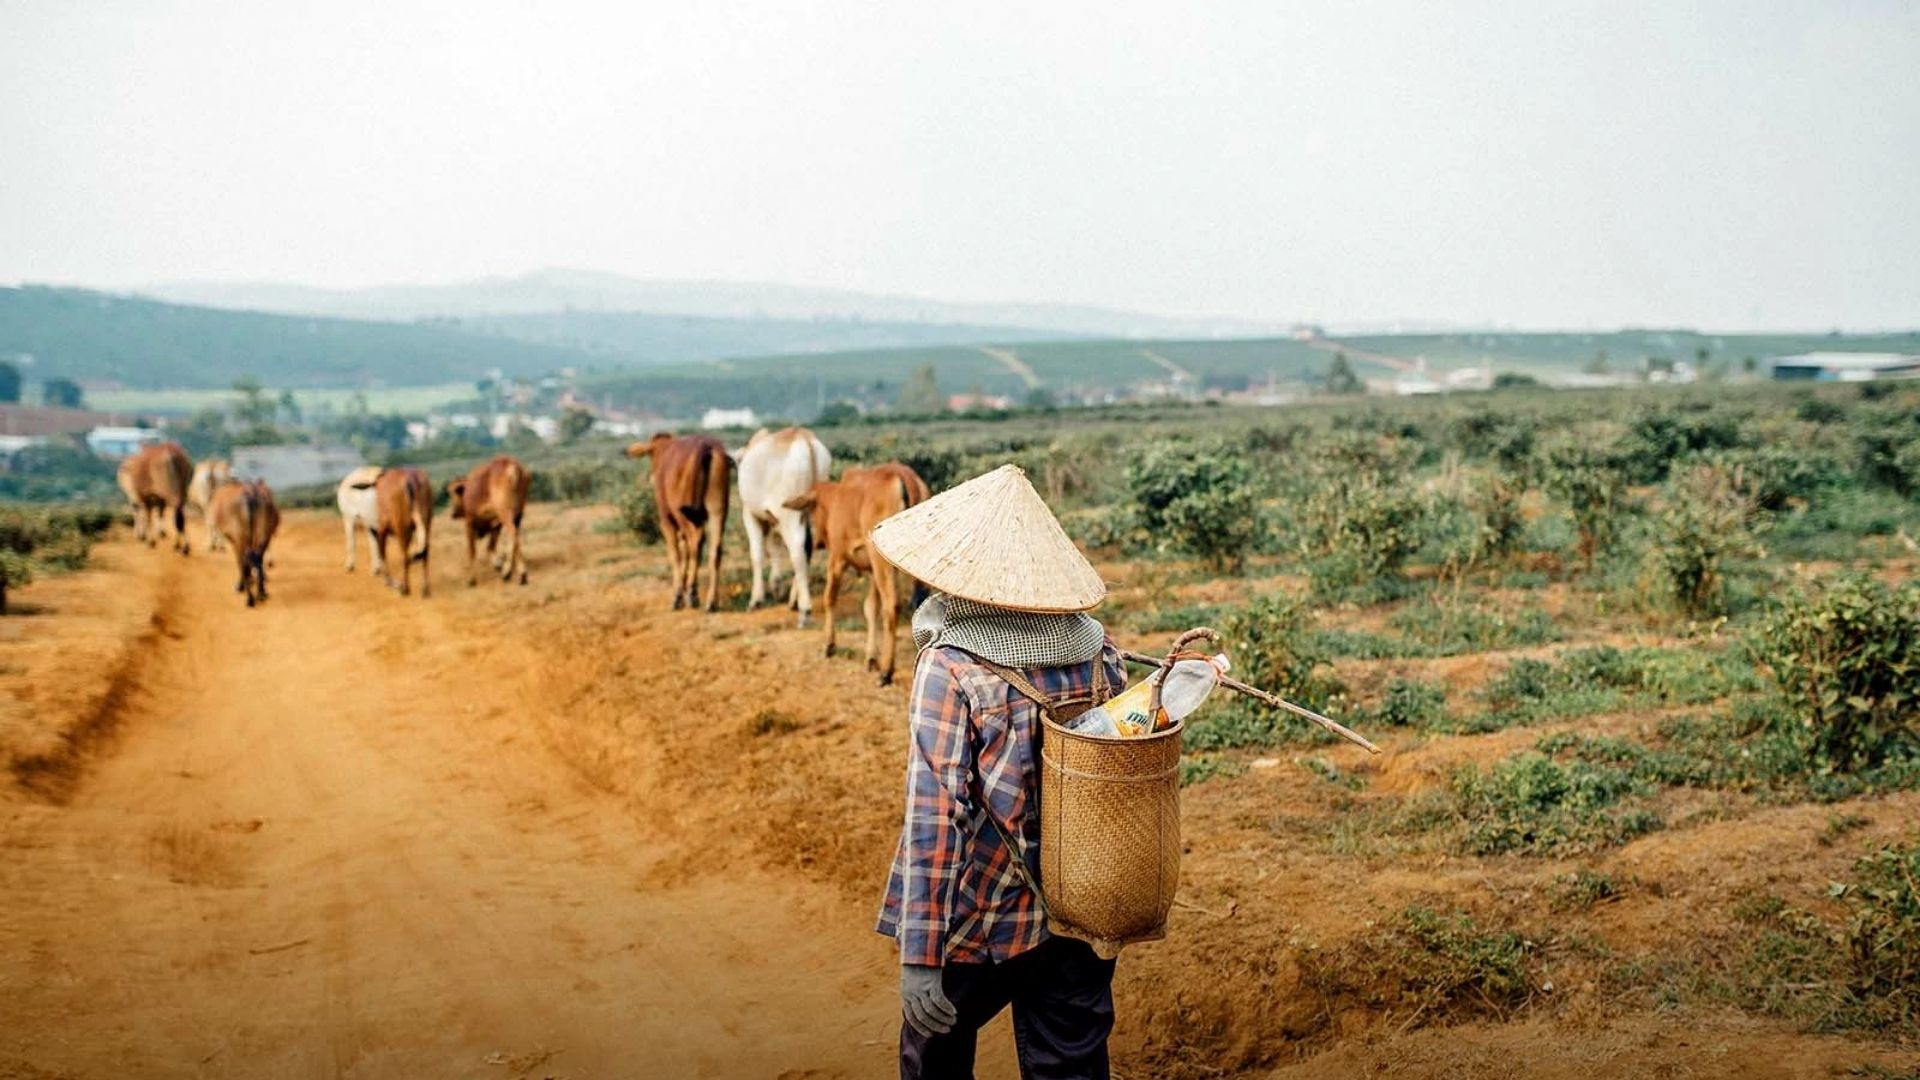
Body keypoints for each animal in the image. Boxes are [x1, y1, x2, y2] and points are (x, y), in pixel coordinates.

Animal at [207, 478, 280, 607]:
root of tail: (250, 492)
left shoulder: (234, 540)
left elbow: (240, 563)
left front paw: (241, 585)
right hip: (262, 537)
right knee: (258, 560)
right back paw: (261, 593)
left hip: (241, 538)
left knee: (246, 562)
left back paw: (250, 598)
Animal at [445, 455, 529, 588]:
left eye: (453, 492)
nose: (453, 513)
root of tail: (512, 466)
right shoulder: (496, 524)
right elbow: (490, 546)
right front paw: (498, 564)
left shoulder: (470, 524)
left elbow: (472, 551)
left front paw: (471, 580)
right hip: (517, 516)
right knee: (516, 538)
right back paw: (521, 575)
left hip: (506, 514)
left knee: (513, 534)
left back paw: (508, 573)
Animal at [625, 432, 729, 611]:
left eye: (651, 454)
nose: (651, 478)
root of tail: (706, 447)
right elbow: (684, 550)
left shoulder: (666, 519)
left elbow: (675, 554)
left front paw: (678, 595)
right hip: (717, 510)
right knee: (714, 549)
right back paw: (711, 602)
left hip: (683, 514)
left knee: (697, 540)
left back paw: (692, 594)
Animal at [729, 422, 829, 622]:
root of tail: (803, 438)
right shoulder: (775, 521)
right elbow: (775, 549)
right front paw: (776, 587)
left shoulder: (750, 515)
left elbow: (757, 555)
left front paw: (756, 599)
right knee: (807, 549)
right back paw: (795, 601)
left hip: (789, 515)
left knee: (797, 552)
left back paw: (804, 609)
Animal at [779, 461, 929, 680]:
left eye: (812, 511)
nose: (818, 542)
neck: (835, 497)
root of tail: (904, 478)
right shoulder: (872, 571)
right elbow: (870, 608)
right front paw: (871, 657)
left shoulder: (838, 558)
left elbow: (829, 597)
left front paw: (829, 645)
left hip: (882, 563)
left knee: (892, 605)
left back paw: (887, 671)